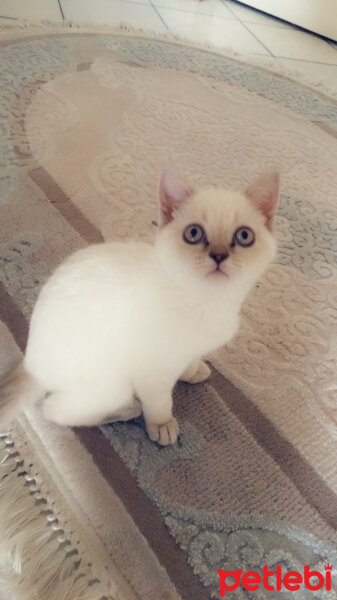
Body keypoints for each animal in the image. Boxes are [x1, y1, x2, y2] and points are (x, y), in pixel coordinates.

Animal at [0, 169, 278, 446]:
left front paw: (193, 372)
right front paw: (162, 424)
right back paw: (128, 410)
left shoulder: (190, 351)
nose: (219, 255)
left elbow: (190, 361)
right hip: (112, 384)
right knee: (54, 410)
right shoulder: (152, 373)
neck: (208, 301)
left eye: (243, 236)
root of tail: (30, 363)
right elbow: (161, 403)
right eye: (194, 234)